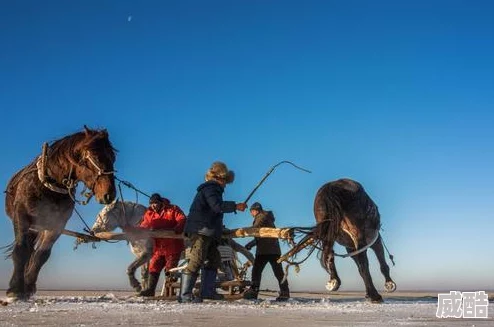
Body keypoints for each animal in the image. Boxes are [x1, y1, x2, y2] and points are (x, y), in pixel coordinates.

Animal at [4, 127, 116, 302]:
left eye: (113, 158)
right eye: (95, 156)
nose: (109, 194)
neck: (49, 185)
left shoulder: (56, 225)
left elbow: (41, 255)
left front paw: (28, 287)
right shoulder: (21, 216)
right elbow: (21, 249)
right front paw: (15, 289)